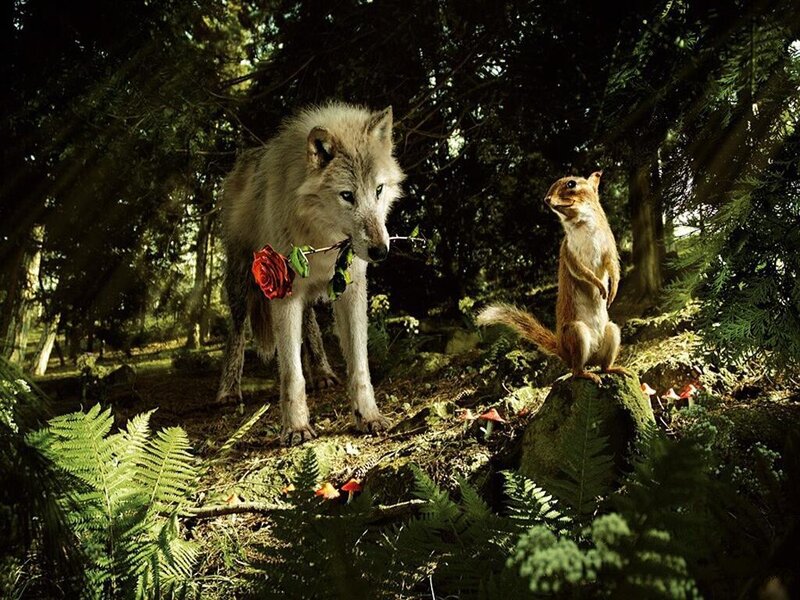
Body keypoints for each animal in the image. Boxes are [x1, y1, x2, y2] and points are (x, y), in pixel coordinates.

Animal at [216, 102, 405, 445]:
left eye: (379, 189)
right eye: (347, 195)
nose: (380, 251)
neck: (321, 236)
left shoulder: (352, 289)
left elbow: (359, 366)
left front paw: (368, 416)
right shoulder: (283, 293)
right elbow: (292, 373)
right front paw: (296, 428)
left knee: (311, 325)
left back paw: (324, 373)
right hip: (241, 284)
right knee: (236, 333)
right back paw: (228, 391)